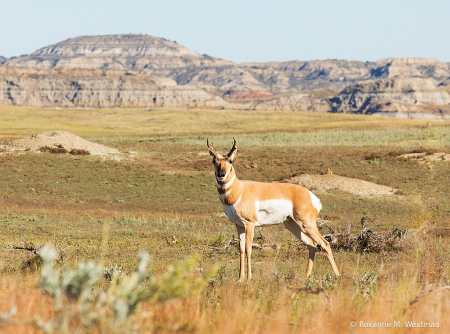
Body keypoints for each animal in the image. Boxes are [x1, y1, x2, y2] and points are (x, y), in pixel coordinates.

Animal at [209, 138, 340, 282]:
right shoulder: (239, 225)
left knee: (325, 244)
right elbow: (241, 249)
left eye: (231, 161)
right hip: (293, 225)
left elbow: (249, 248)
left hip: (307, 225)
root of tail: (310, 195)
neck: (239, 191)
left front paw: (249, 278)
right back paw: (306, 276)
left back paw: (336, 275)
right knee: (312, 245)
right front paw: (239, 279)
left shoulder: (250, 224)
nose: (221, 175)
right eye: (214, 161)